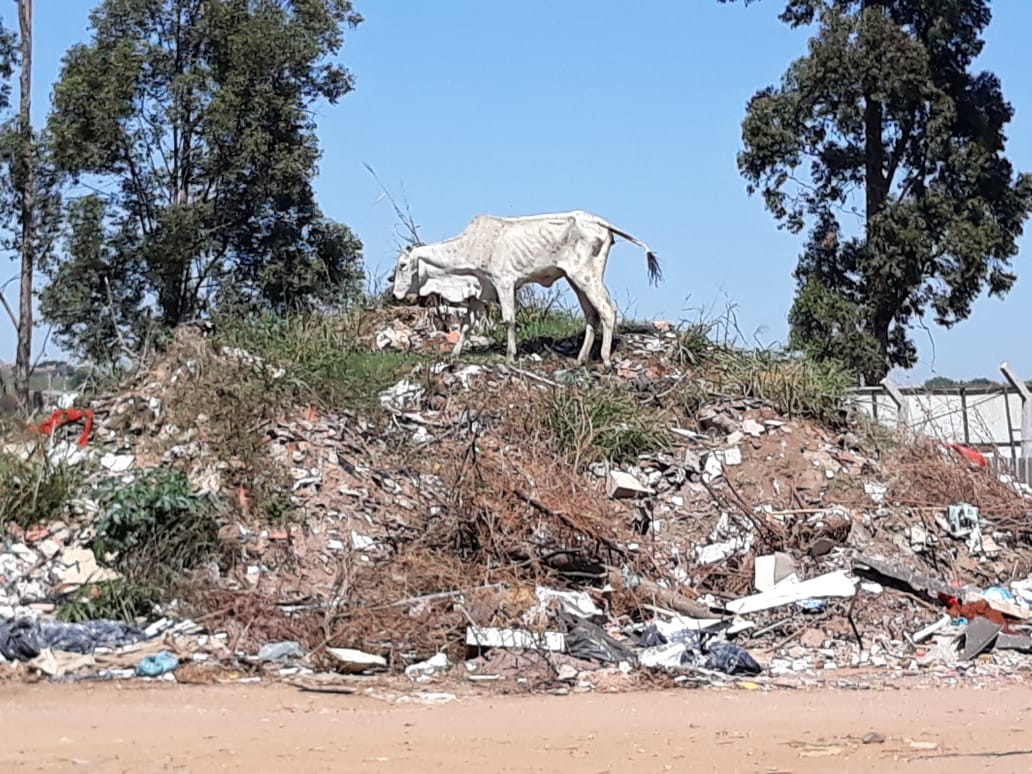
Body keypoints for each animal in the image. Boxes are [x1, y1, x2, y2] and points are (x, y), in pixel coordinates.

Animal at [390, 210, 656, 367]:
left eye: (403, 265)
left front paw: (510, 355)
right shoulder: (479, 291)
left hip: (586, 277)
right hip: (576, 280)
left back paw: (605, 359)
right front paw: (454, 354)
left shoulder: (504, 283)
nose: (396, 293)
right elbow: (466, 326)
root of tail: (598, 221)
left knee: (607, 311)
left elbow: (509, 319)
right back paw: (580, 359)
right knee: (592, 315)